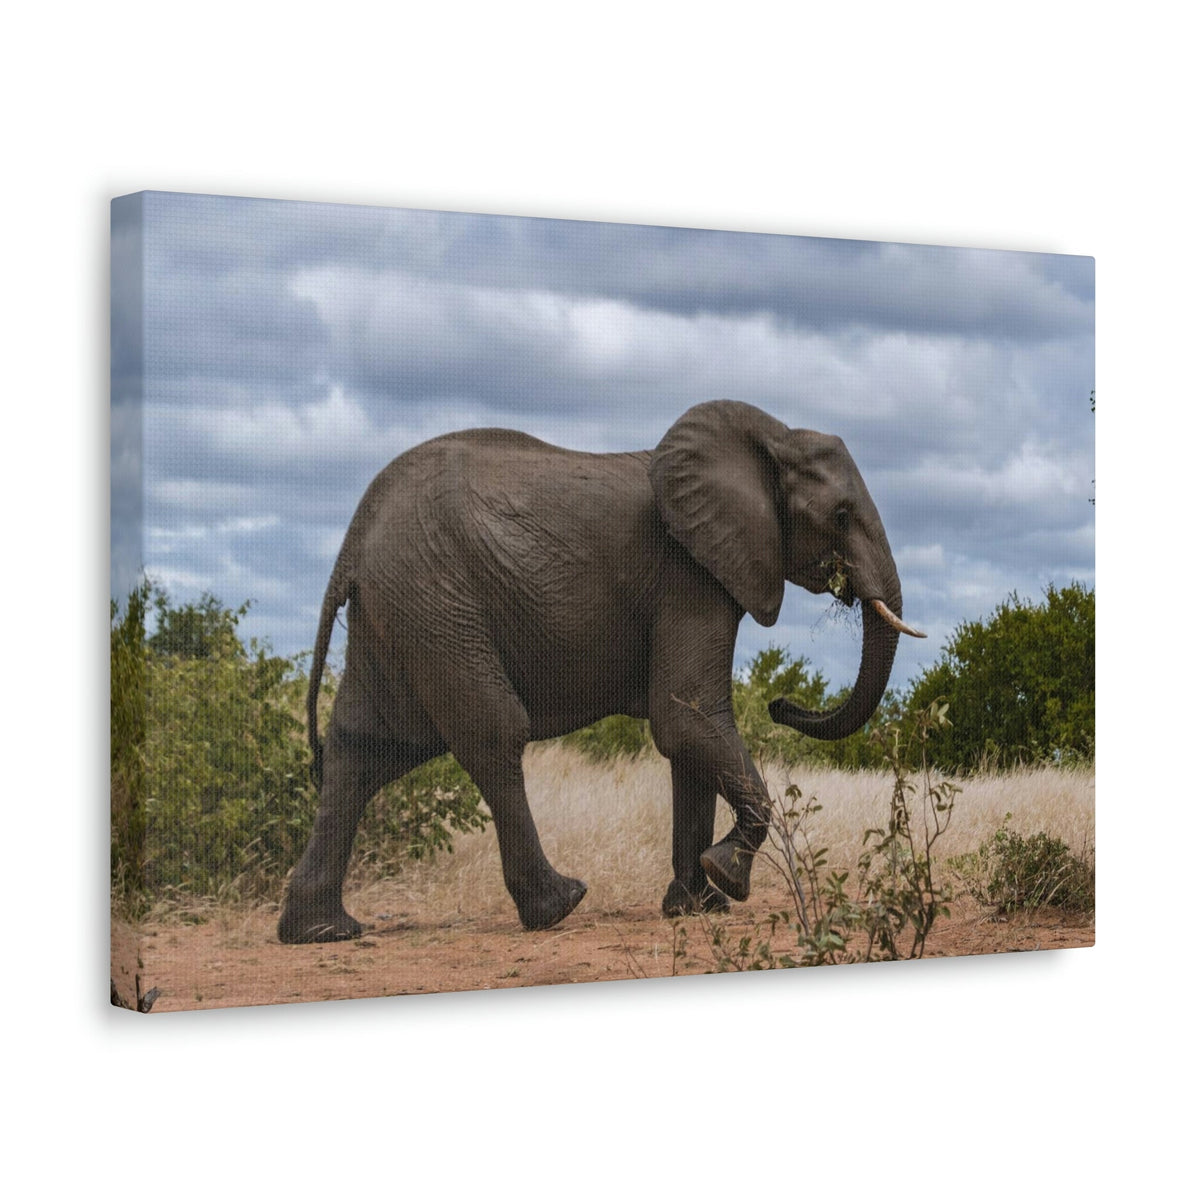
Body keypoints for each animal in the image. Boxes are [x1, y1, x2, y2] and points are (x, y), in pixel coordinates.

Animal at [277, 400, 923, 943]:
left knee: (365, 748)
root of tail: (355, 537)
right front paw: (727, 878)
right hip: (435, 601)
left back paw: (321, 932)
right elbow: (687, 715)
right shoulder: (688, 572)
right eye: (841, 515)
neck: (770, 436)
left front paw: (696, 907)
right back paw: (558, 906)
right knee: (492, 733)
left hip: (399, 610)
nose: (780, 703)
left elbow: (688, 733)